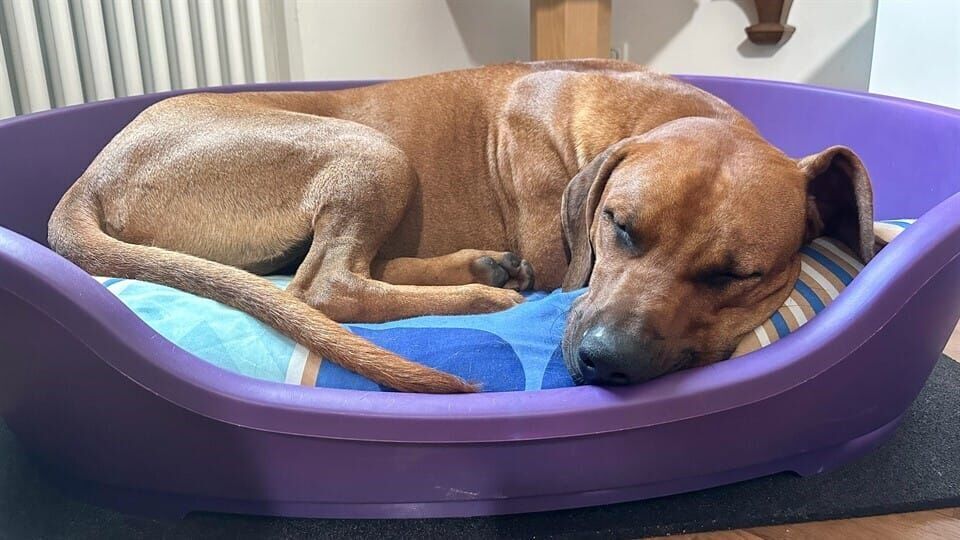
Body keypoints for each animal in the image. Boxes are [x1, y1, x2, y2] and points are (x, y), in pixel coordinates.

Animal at [48, 60, 874, 393]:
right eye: (618, 227)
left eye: (736, 275)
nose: (605, 362)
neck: (649, 111)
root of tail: (86, 180)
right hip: (367, 150)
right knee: (325, 286)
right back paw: (485, 294)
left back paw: (482, 268)